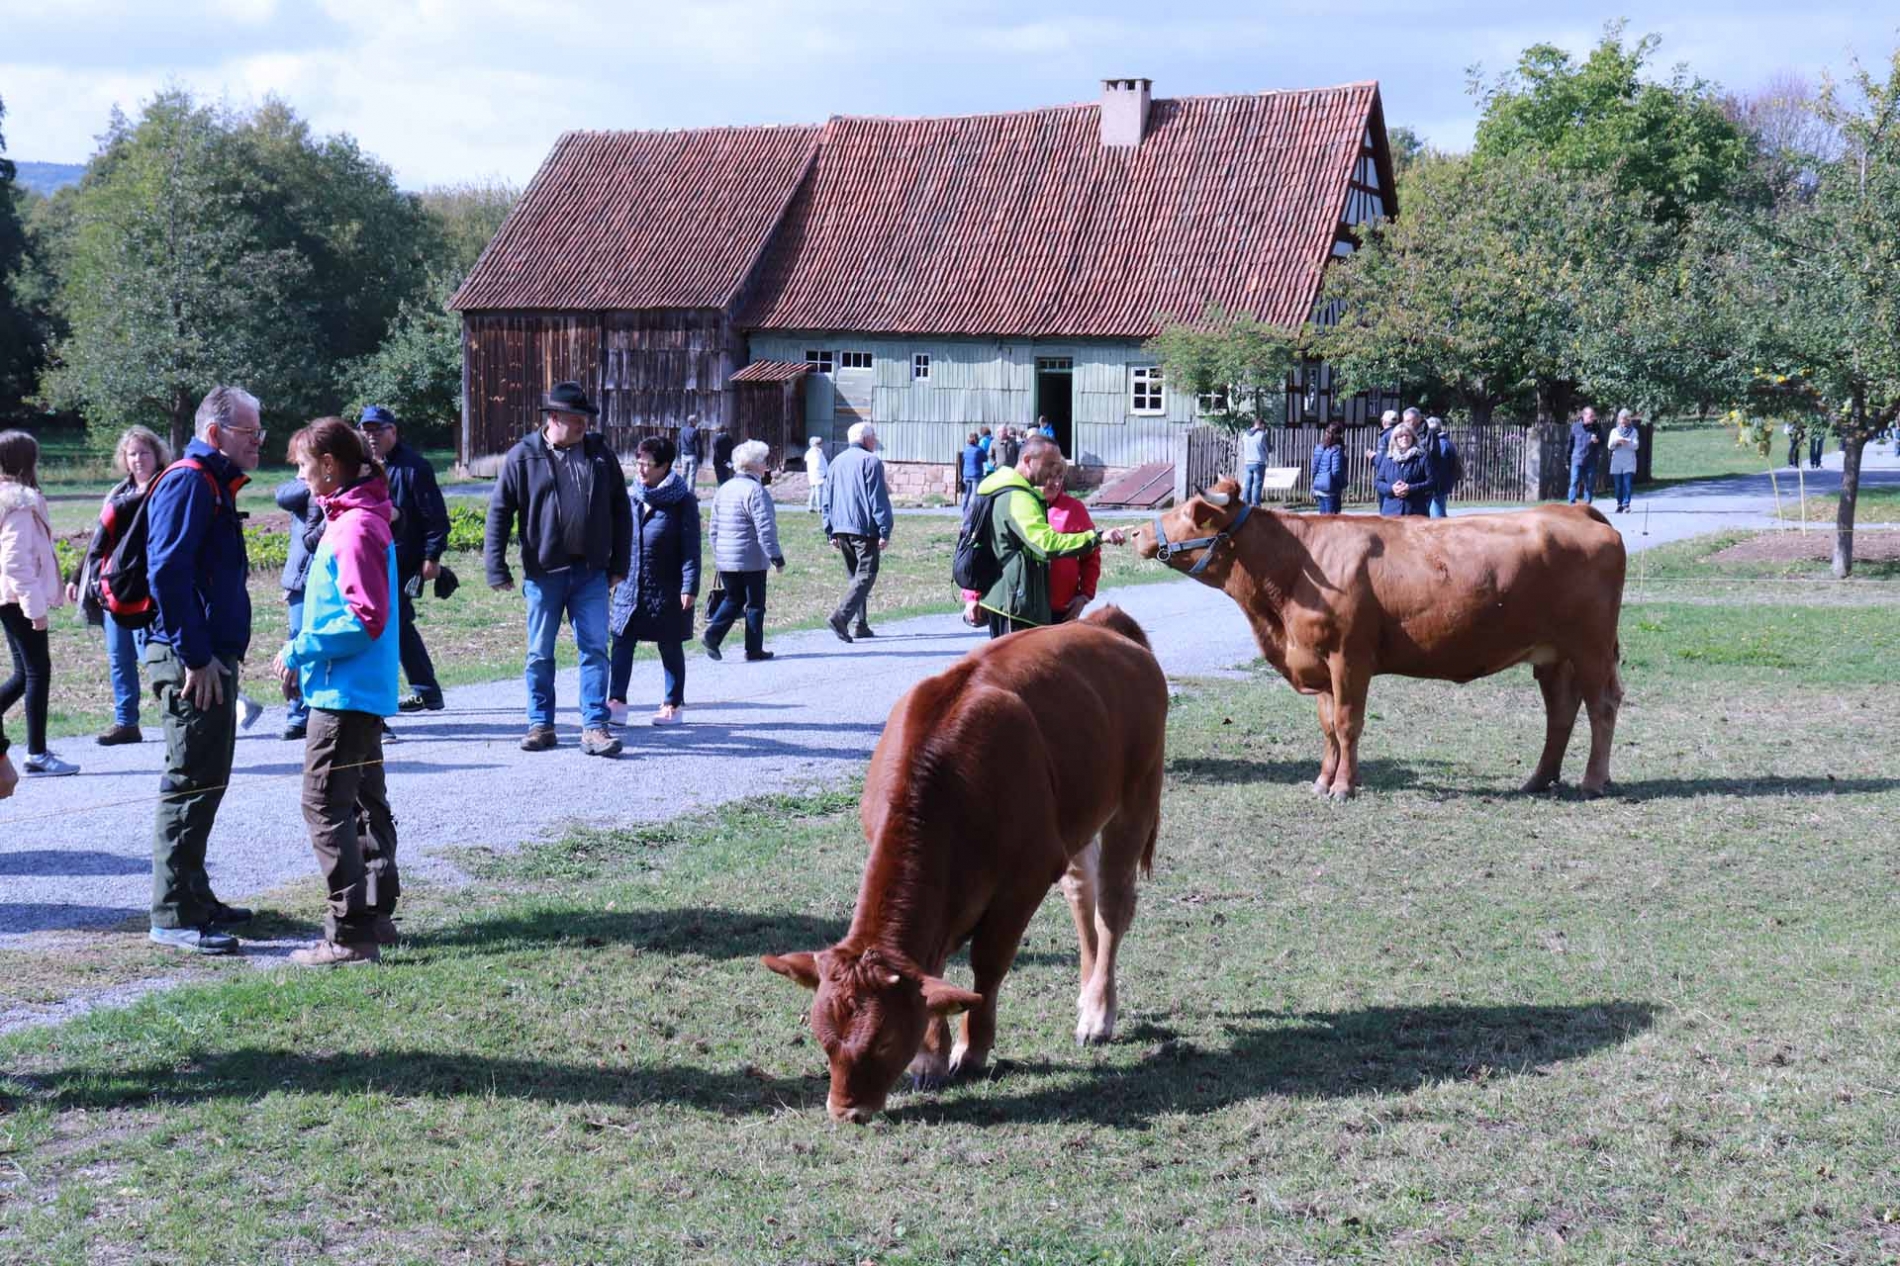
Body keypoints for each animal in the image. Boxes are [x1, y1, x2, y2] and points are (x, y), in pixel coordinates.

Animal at [763, 608, 1162, 1117]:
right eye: (823, 1039)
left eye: (885, 1041)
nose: (846, 1111)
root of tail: (1101, 622)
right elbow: (933, 970)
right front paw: (930, 1058)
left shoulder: (1024, 881)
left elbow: (986, 965)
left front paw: (971, 1051)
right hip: (1079, 818)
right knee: (1082, 891)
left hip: (1137, 798)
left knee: (1111, 907)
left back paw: (1097, 1014)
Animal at [1132, 479, 1626, 794]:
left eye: (1192, 513)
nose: (1134, 532)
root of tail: (1575, 510)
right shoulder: (1318, 658)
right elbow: (1328, 725)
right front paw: (1323, 780)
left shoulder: (1349, 657)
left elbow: (1348, 723)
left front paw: (1344, 787)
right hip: (1553, 655)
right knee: (1560, 711)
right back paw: (1539, 780)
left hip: (1591, 647)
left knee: (1601, 705)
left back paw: (1593, 781)